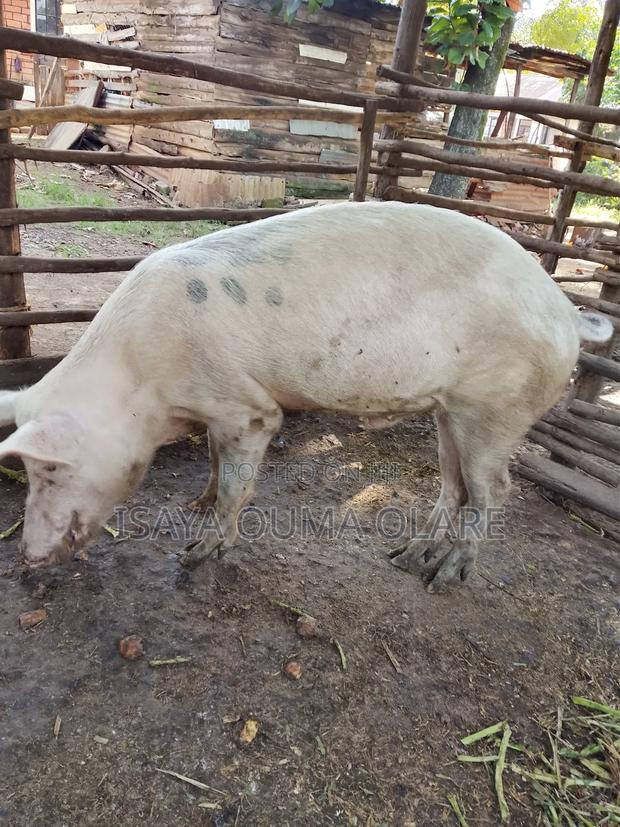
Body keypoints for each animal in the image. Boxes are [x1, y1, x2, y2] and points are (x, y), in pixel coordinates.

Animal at [0, 202, 612, 591]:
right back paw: (405, 558)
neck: (142, 381)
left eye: (49, 470)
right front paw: (195, 501)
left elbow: (238, 485)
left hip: (497, 408)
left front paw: (196, 554)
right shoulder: (215, 413)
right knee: (453, 486)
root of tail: (565, 310)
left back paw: (445, 579)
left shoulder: (248, 408)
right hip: (450, 410)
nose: (26, 558)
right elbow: (213, 462)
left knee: (494, 490)